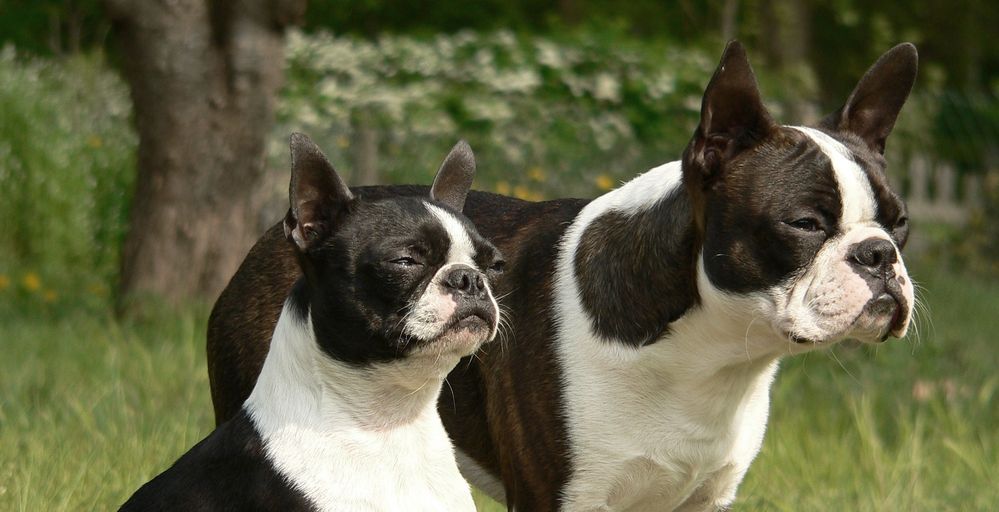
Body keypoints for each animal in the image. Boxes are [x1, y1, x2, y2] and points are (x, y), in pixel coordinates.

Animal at [205, 42, 920, 510]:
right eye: (804, 223)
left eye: (900, 222)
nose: (879, 255)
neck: (707, 355)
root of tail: (272, 237)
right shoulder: (560, 496)